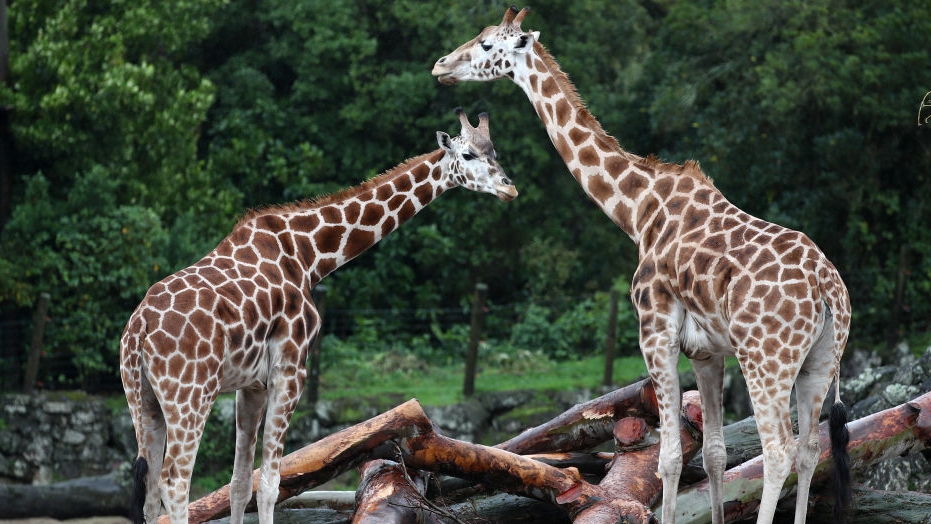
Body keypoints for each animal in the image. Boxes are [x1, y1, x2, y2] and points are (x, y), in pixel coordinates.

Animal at [119, 108, 517, 524]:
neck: (310, 255)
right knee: (175, 483)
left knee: (149, 490)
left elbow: (240, 484)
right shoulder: (291, 368)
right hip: (191, 397)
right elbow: (270, 484)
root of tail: (139, 330)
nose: (510, 188)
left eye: (495, 152)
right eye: (468, 154)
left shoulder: (251, 384)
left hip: (143, 399)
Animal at [433, 7, 851, 524]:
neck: (638, 210)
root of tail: (826, 287)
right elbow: (714, 453)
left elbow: (668, 458)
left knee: (779, 451)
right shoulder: (708, 352)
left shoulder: (655, 332)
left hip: (766, 360)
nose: (442, 65)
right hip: (821, 359)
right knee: (811, 449)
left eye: (489, 44)